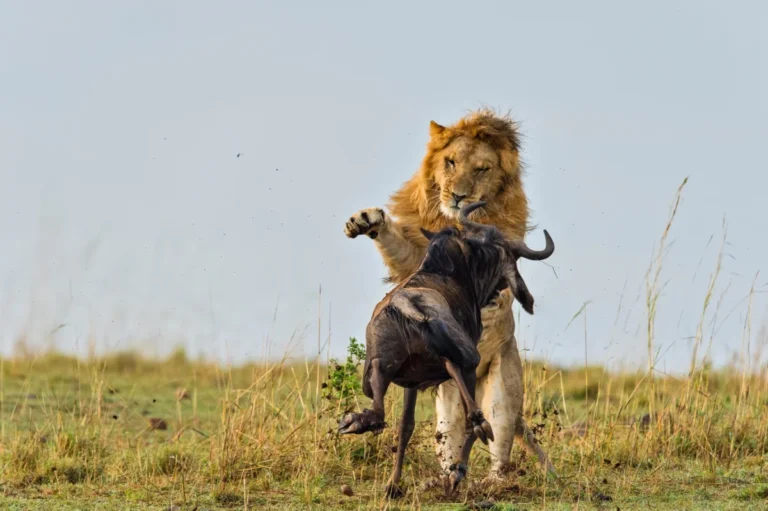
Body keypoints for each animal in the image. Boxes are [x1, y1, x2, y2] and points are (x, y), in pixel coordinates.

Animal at [344, 108, 555, 483]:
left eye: (482, 169)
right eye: (451, 162)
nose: (458, 196)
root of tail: (410, 308)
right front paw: (365, 220)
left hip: (499, 389)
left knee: (496, 441)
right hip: (448, 387)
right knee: (456, 424)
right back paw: (451, 470)